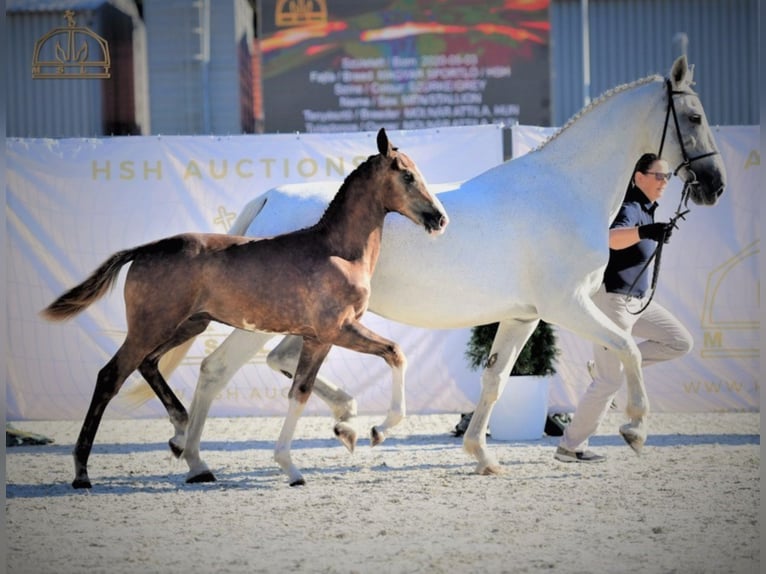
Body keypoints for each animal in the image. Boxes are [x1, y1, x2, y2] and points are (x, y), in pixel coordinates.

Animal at [156, 57, 728, 486]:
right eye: (695, 118)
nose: (715, 186)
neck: (561, 191)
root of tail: (271, 198)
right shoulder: (568, 304)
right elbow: (629, 347)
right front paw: (635, 430)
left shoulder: (523, 316)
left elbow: (495, 381)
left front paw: (482, 456)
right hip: (271, 320)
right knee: (217, 370)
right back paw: (200, 459)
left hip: (309, 322)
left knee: (277, 361)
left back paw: (344, 424)